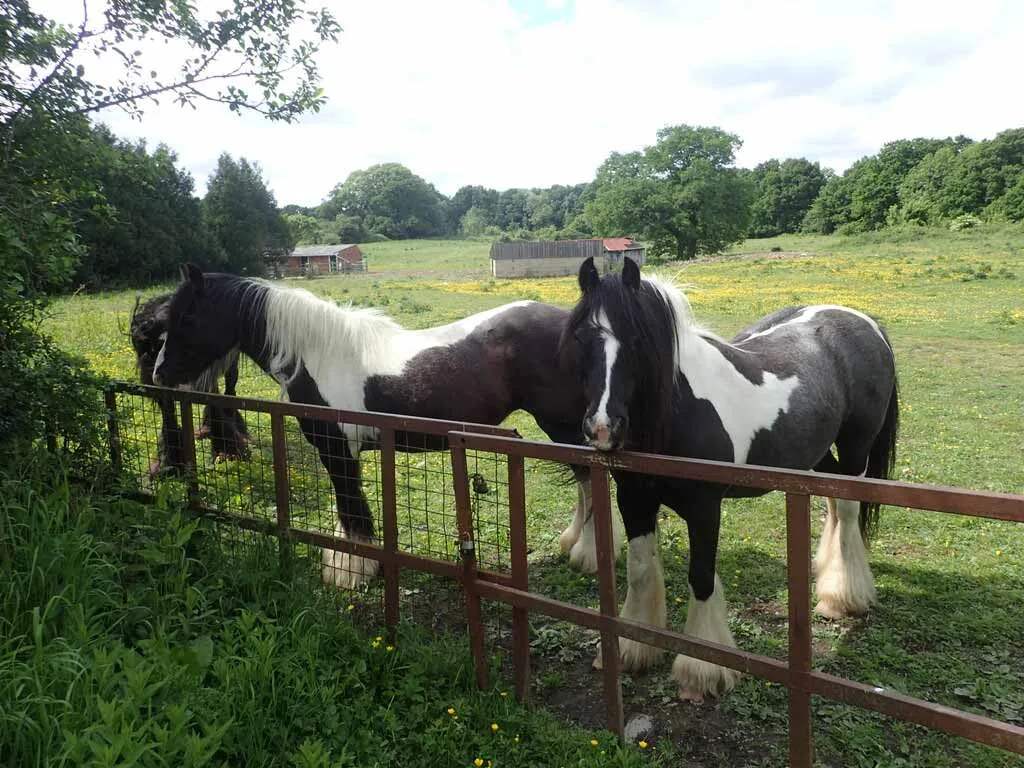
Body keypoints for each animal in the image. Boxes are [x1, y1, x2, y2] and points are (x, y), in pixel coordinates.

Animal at [150, 263, 622, 588]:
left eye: (186, 318)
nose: (159, 374)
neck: (317, 355)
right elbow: (348, 508)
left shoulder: (337, 449)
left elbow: (352, 508)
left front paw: (353, 570)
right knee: (585, 482)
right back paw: (573, 544)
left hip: (561, 424)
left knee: (590, 479)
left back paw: (589, 555)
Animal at [562, 255, 899, 701]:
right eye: (581, 338)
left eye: (637, 342)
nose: (602, 428)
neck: (678, 411)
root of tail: (864, 320)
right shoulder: (633, 500)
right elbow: (639, 569)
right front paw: (634, 648)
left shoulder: (705, 508)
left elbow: (701, 578)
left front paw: (702, 670)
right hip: (816, 452)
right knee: (831, 500)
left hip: (857, 446)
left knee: (846, 511)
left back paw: (841, 597)